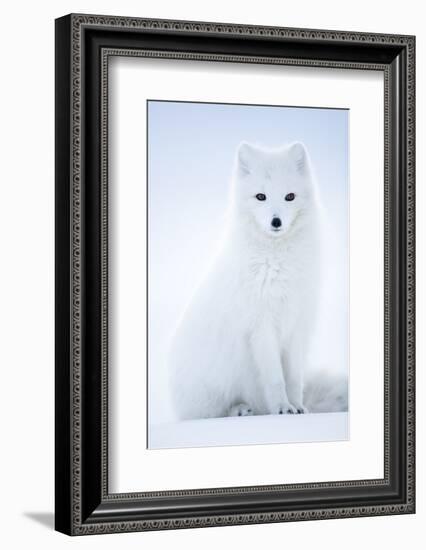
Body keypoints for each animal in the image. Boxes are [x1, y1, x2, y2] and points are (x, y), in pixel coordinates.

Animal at [170, 142, 330, 422]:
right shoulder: (261, 326)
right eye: (260, 197)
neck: (278, 263)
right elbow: (275, 378)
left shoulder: (297, 324)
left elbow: (293, 377)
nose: (276, 221)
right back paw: (241, 410)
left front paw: (297, 407)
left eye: (290, 196)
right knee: (210, 414)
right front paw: (282, 408)